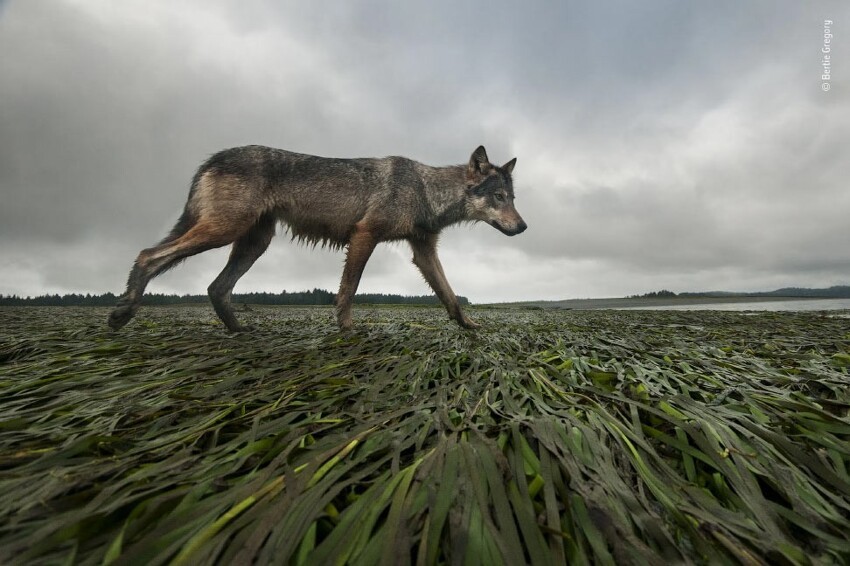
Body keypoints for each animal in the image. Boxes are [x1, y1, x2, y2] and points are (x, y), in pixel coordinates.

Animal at [107, 145, 524, 332]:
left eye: (513, 198)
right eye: (498, 197)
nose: (522, 228)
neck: (425, 190)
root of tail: (212, 158)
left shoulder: (423, 252)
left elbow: (449, 295)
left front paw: (470, 327)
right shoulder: (364, 235)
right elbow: (349, 289)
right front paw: (348, 330)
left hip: (252, 243)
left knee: (215, 287)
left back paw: (240, 331)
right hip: (223, 232)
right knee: (148, 255)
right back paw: (122, 312)